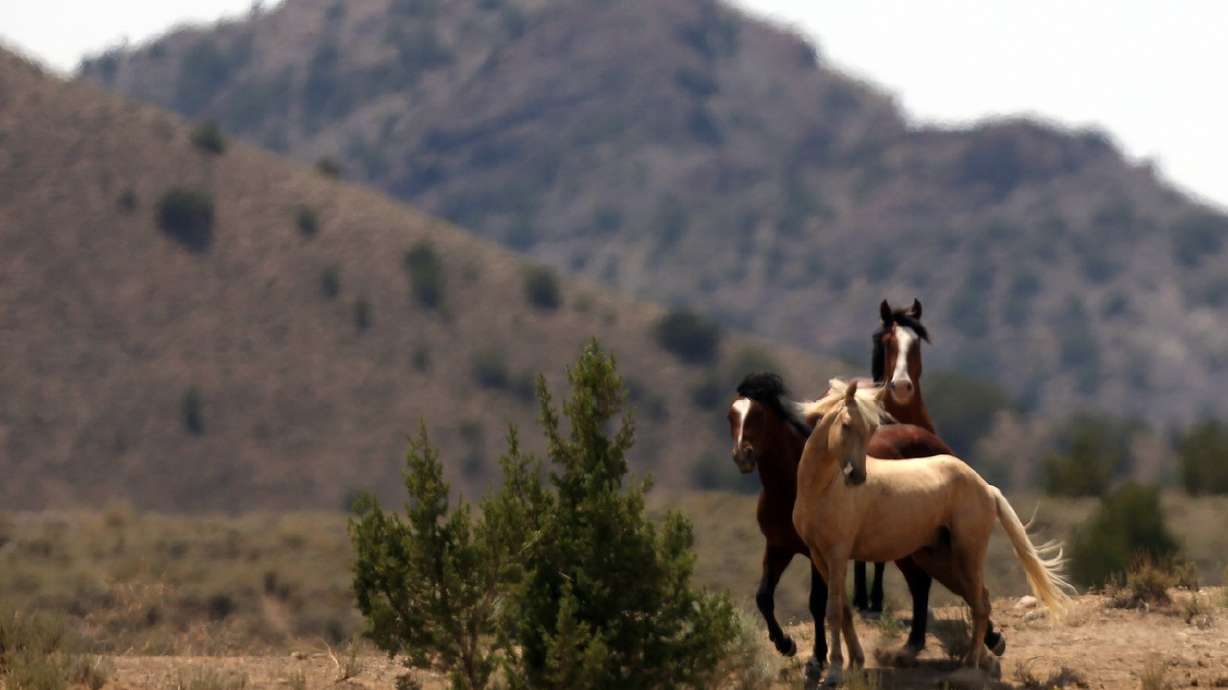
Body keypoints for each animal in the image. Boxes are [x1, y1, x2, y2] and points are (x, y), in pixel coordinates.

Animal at [730, 373, 1005, 675]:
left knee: (956, 590)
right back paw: (931, 644)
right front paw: (787, 645)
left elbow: (819, 603)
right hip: (924, 551)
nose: (742, 455)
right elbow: (765, 597)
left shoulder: (821, 553)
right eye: (732, 415)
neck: (794, 484)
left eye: (757, 415)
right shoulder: (781, 547)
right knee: (938, 586)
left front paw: (819, 659)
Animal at [792, 379, 1073, 686]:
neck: (824, 489)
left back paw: (968, 667)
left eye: (872, 429)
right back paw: (984, 657)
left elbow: (832, 611)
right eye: (845, 425)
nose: (856, 477)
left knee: (979, 604)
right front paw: (855, 661)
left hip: (966, 554)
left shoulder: (838, 555)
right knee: (980, 598)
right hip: (937, 558)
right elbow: (843, 609)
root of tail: (986, 487)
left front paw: (834, 672)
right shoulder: (820, 556)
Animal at [854, 298, 935, 613]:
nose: (901, 386)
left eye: (916, 342)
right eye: (889, 342)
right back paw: (861, 599)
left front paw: (877, 600)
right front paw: (869, 600)